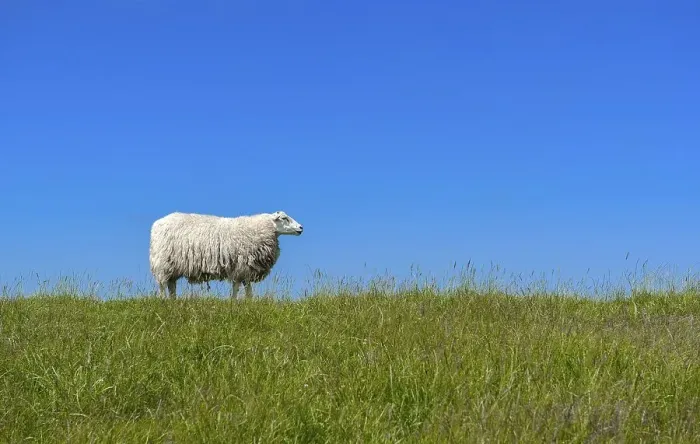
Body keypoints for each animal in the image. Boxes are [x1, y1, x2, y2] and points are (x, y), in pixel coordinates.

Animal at [149, 210, 303, 299]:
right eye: (284, 218)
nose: (301, 228)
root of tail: (157, 224)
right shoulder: (242, 267)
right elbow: (239, 289)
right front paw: (235, 303)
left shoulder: (245, 270)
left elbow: (245, 290)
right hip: (163, 263)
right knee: (162, 285)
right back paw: (163, 301)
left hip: (172, 266)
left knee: (171, 286)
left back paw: (173, 301)